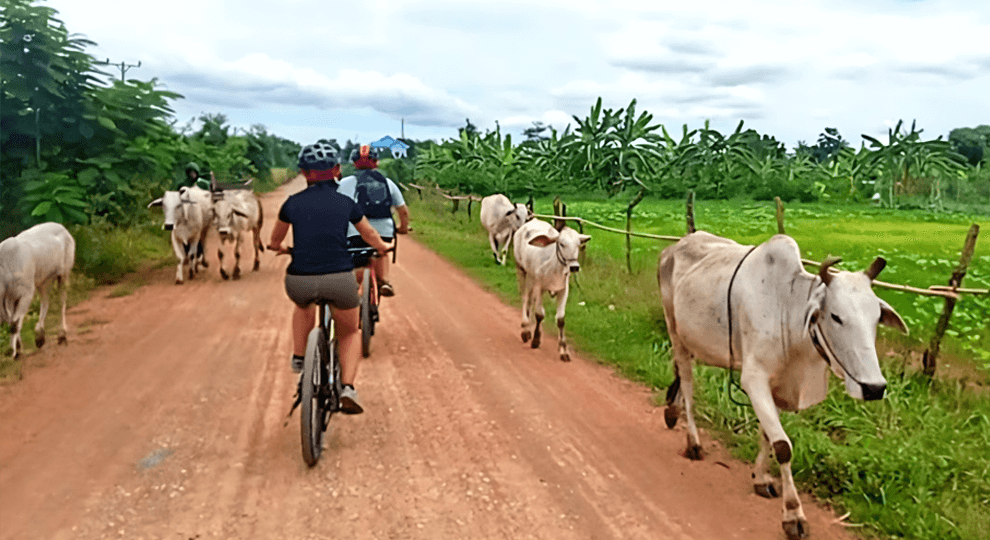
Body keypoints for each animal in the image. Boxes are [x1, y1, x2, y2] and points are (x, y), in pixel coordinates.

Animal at [0, 221, 76, 360]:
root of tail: (63, 228)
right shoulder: (10, 300)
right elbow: (13, 322)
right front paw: (17, 349)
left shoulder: (26, 294)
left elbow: (14, 325)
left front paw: (12, 351)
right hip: (43, 281)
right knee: (45, 302)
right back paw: (40, 337)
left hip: (64, 274)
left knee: (62, 301)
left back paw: (62, 335)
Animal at [512, 219, 588, 362]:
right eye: (561, 244)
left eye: (578, 244)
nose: (574, 267)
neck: (554, 267)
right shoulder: (539, 287)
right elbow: (540, 314)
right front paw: (536, 340)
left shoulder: (564, 290)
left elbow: (560, 320)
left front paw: (563, 350)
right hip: (521, 270)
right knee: (525, 298)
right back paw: (525, 329)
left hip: (531, 277)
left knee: (529, 301)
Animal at [660, 232, 908, 540]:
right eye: (836, 316)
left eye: (876, 319)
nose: (874, 388)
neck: (788, 307)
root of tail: (674, 247)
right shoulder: (754, 380)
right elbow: (782, 446)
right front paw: (793, 514)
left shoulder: (778, 385)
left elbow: (767, 436)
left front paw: (761, 479)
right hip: (675, 333)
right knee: (689, 386)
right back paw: (693, 442)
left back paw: (672, 409)